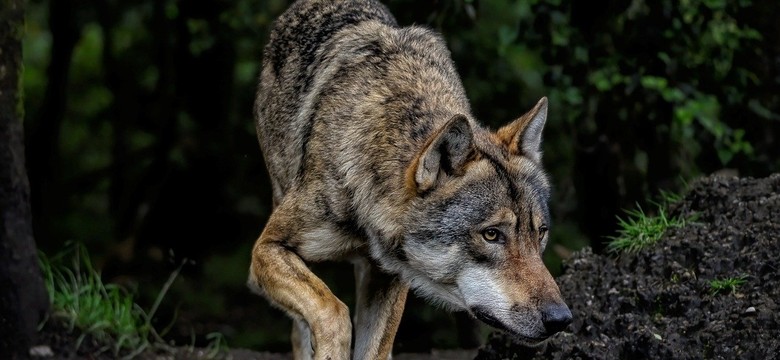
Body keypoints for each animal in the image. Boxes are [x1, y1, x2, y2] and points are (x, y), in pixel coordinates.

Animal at [250, 0, 572, 358]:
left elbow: (374, 348)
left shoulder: (390, 277)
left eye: (540, 233)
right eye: (491, 235)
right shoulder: (266, 250)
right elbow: (332, 310)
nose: (561, 319)